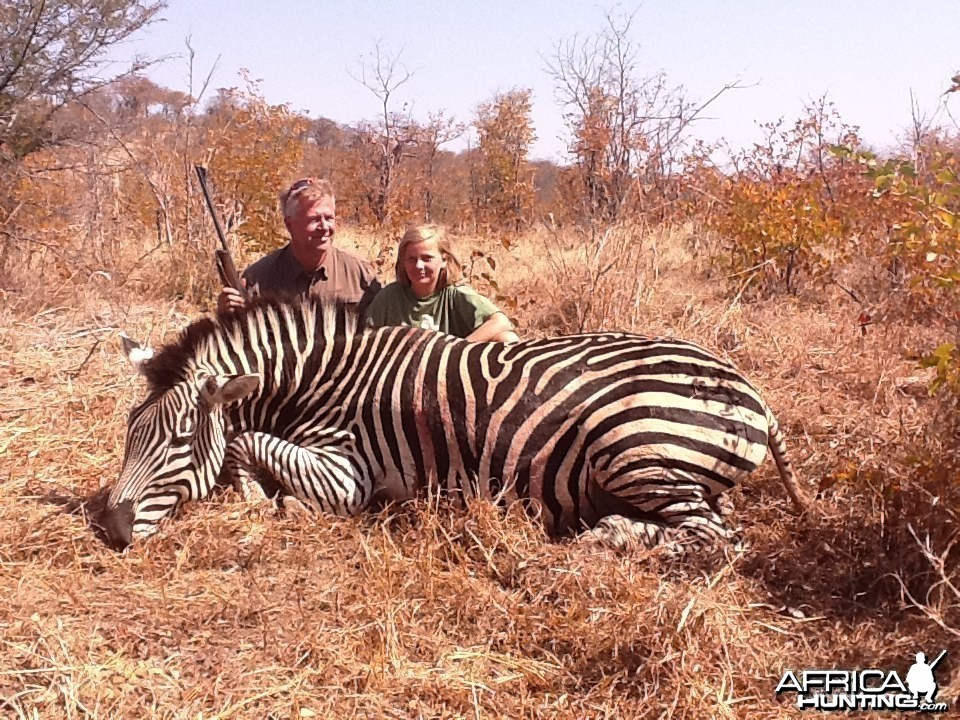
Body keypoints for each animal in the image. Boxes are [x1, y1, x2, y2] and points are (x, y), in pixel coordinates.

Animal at [101, 292, 808, 552]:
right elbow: (246, 442)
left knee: (716, 539)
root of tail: (754, 393)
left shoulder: (350, 475)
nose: (109, 528)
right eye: (130, 434)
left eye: (179, 441)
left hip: (632, 446)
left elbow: (246, 442)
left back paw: (606, 536)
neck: (323, 381)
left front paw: (265, 499)